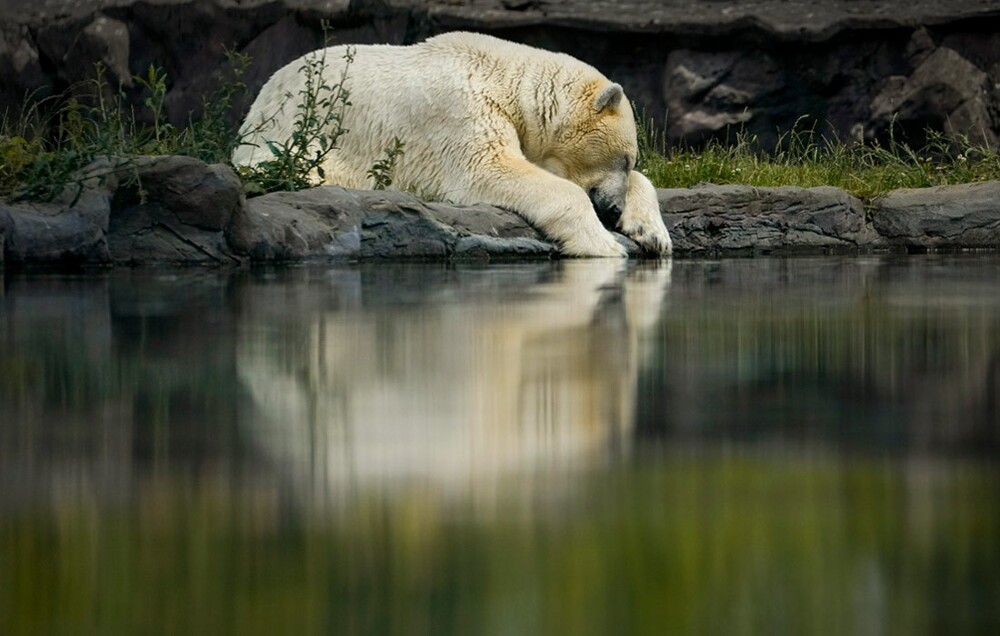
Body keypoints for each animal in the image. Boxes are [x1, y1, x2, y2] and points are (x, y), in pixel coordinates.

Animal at [232, 31, 672, 258]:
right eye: (623, 157)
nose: (612, 209)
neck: (505, 78)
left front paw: (653, 233)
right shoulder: (462, 107)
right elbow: (489, 167)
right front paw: (604, 245)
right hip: (297, 136)